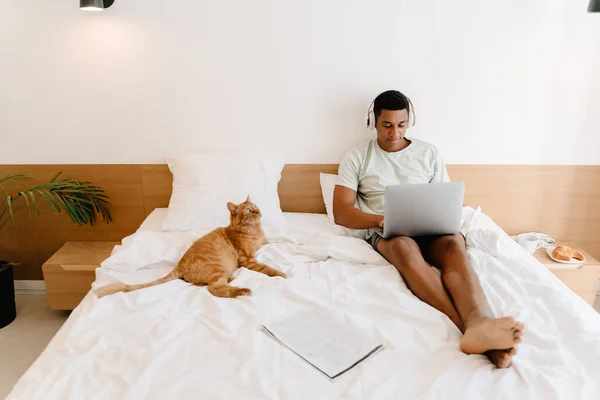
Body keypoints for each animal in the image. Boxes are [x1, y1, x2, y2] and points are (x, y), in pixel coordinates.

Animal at [95, 197, 286, 300]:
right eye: (248, 210)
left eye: (256, 207)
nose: (258, 212)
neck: (254, 230)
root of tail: (179, 264)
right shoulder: (248, 259)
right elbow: (267, 268)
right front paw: (281, 274)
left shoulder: (264, 243)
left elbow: (279, 242)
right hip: (217, 268)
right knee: (214, 289)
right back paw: (242, 290)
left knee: (203, 284)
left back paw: (231, 279)